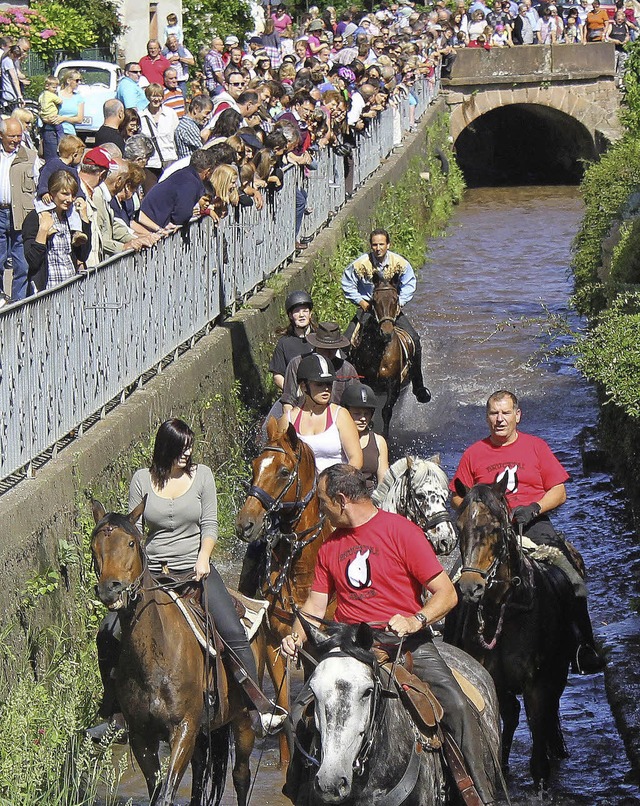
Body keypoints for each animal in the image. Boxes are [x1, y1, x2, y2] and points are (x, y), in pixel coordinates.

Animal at [90, 502, 260, 804]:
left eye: (131, 543)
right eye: (94, 546)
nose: (110, 589)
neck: (155, 660)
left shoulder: (183, 729)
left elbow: (166, 793)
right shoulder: (141, 736)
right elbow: (157, 790)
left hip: (241, 721)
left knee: (241, 775)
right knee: (201, 772)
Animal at [350, 276, 416, 442]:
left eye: (396, 299)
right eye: (374, 300)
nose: (386, 332)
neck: (379, 352)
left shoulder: (393, 385)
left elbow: (386, 411)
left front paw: (385, 437)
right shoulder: (366, 382)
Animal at [444, 476, 576, 792]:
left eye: (494, 527)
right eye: (461, 525)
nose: (470, 587)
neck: (506, 610)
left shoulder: (538, 685)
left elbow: (538, 725)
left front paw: (541, 781)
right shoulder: (495, 680)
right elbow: (506, 715)